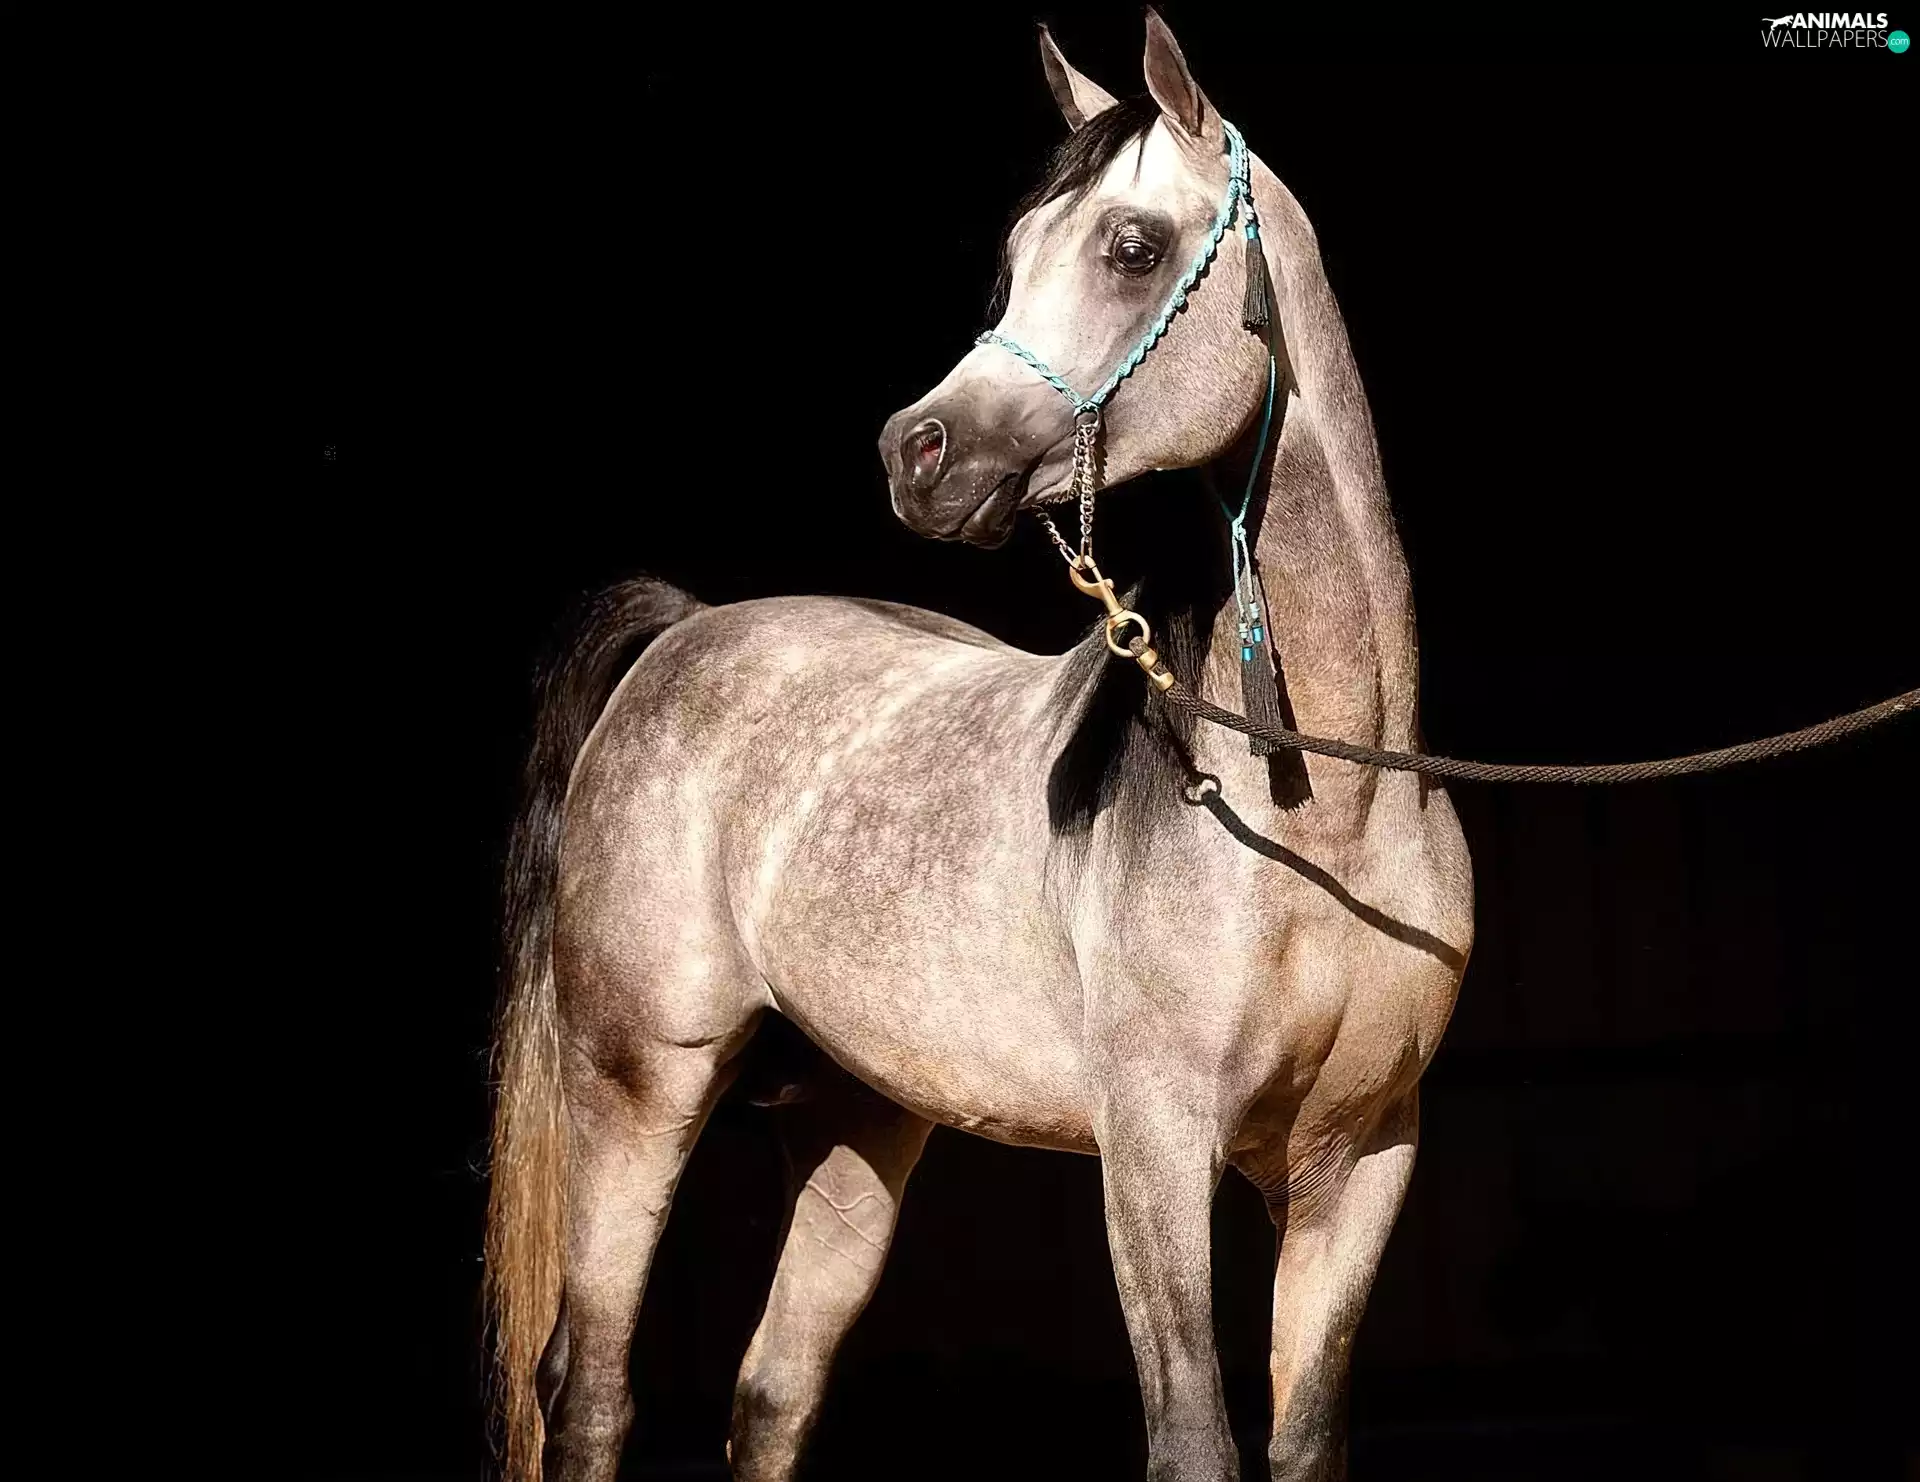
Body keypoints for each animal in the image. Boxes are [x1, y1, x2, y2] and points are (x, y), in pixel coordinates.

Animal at [486, 13, 1472, 1481]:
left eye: (1131, 246)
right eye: (1014, 255)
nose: (920, 453)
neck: (1327, 814)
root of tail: (685, 632)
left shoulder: (1358, 1160)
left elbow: (1299, 1443)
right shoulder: (1154, 1150)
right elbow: (1194, 1438)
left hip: (860, 1120)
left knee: (772, 1390)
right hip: (637, 1085)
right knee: (589, 1386)